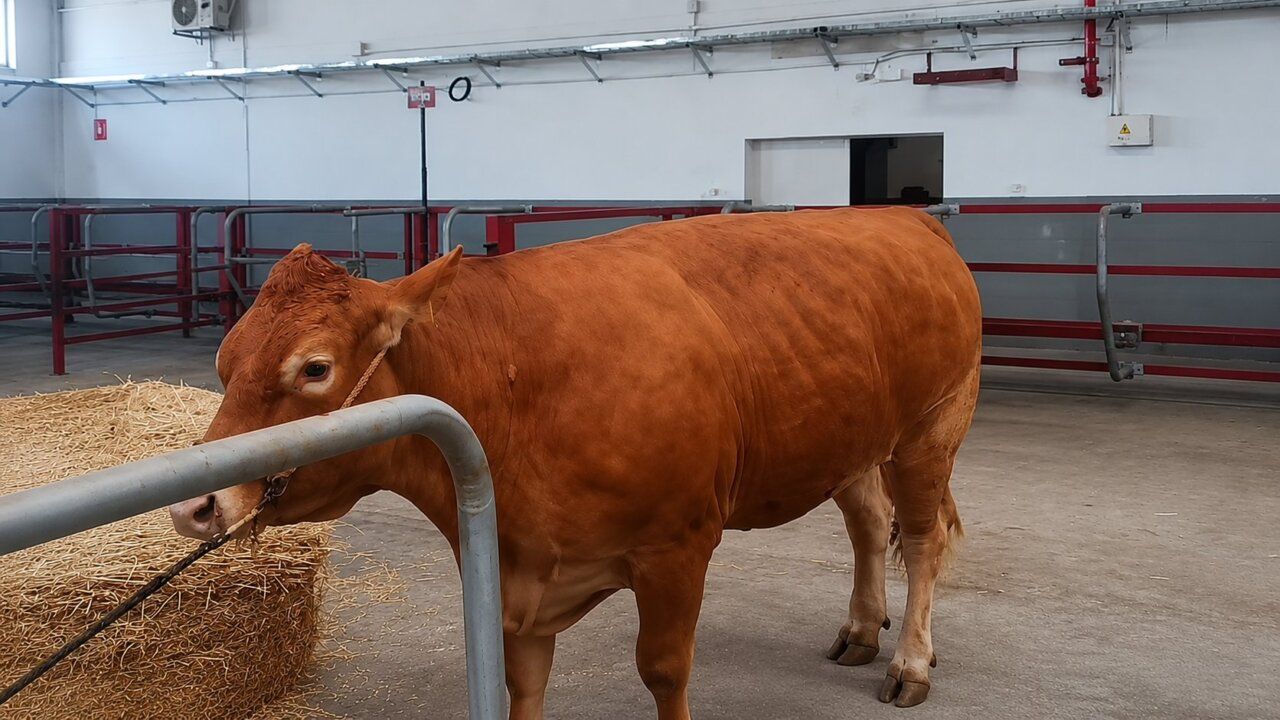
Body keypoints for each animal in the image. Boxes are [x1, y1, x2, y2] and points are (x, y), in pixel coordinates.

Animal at [170, 206, 981, 718]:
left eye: (315, 368)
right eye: (225, 361)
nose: (196, 505)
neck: (517, 383)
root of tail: (907, 218)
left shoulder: (677, 547)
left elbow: (665, 671)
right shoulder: (515, 572)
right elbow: (523, 683)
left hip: (931, 427)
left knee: (923, 537)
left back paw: (909, 662)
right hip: (852, 440)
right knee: (870, 522)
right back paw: (862, 630)